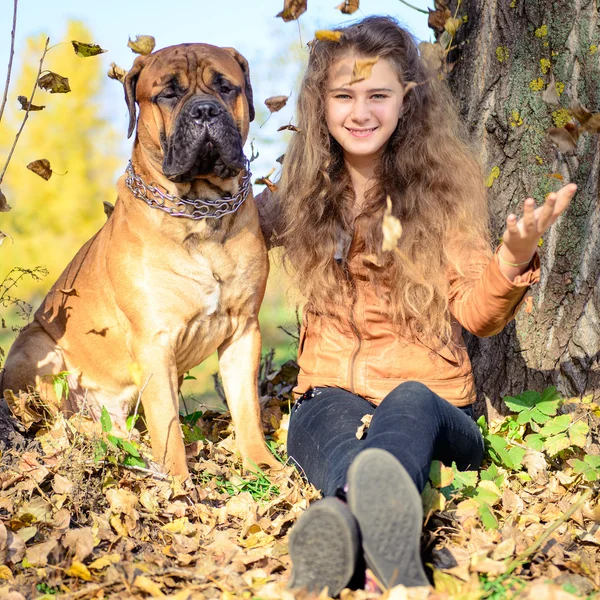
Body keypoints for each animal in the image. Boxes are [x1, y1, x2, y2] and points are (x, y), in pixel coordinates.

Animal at [1, 44, 278, 478]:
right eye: (167, 94)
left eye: (225, 87)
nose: (204, 111)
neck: (201, 211)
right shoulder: (154, 339)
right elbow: (167, 423)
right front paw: (179, 481)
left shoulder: (243, 329)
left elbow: (246, 407)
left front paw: (264, 466)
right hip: (36, 347)